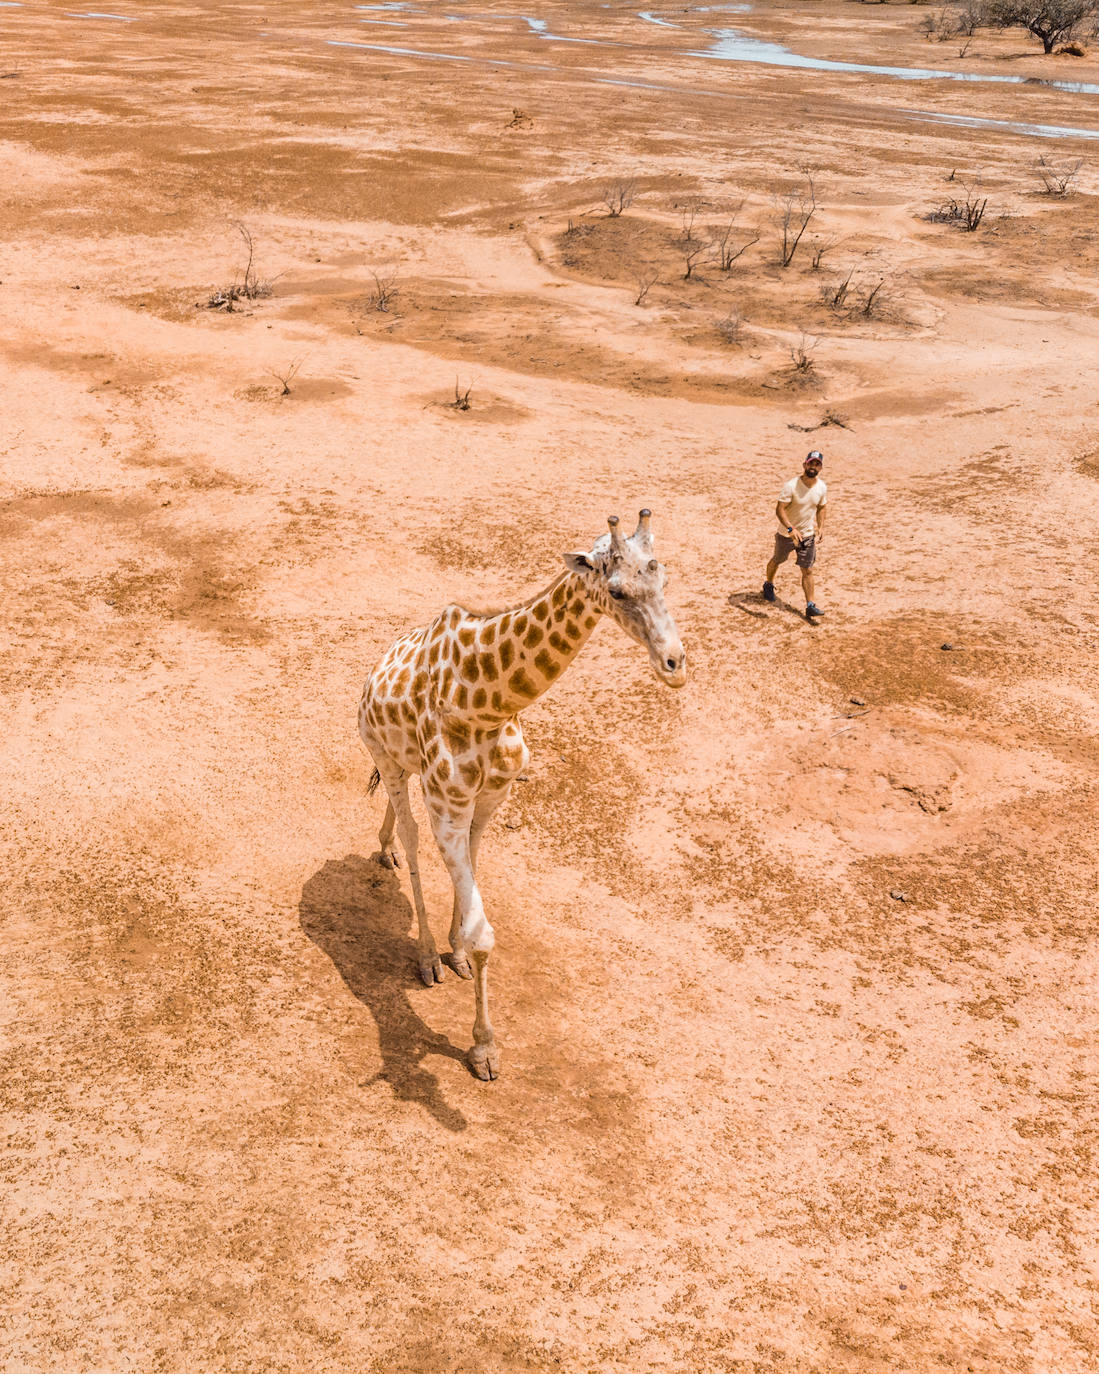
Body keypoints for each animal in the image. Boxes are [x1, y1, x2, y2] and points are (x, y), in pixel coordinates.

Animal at [357, 511, 686, 1077]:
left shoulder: (492, 796)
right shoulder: (447, 807)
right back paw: (424, 955)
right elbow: (484, 933)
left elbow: (474, 870)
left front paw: (458, 954)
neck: (485, 702)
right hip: (387, 759)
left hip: (408, 766)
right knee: (412, 835)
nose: (675, 663)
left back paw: (389, 858)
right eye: (617, 591)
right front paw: (483, 1048)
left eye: (662, 576)